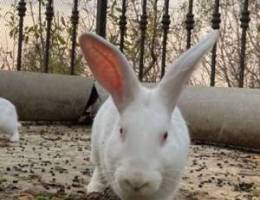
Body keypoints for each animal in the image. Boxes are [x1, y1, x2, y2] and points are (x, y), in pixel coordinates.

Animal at [79, 30, 219, 200]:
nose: (136, 179)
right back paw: (94, 190)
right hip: (96, 150)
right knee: (98, 170)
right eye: (121, 131)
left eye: (165, 135)